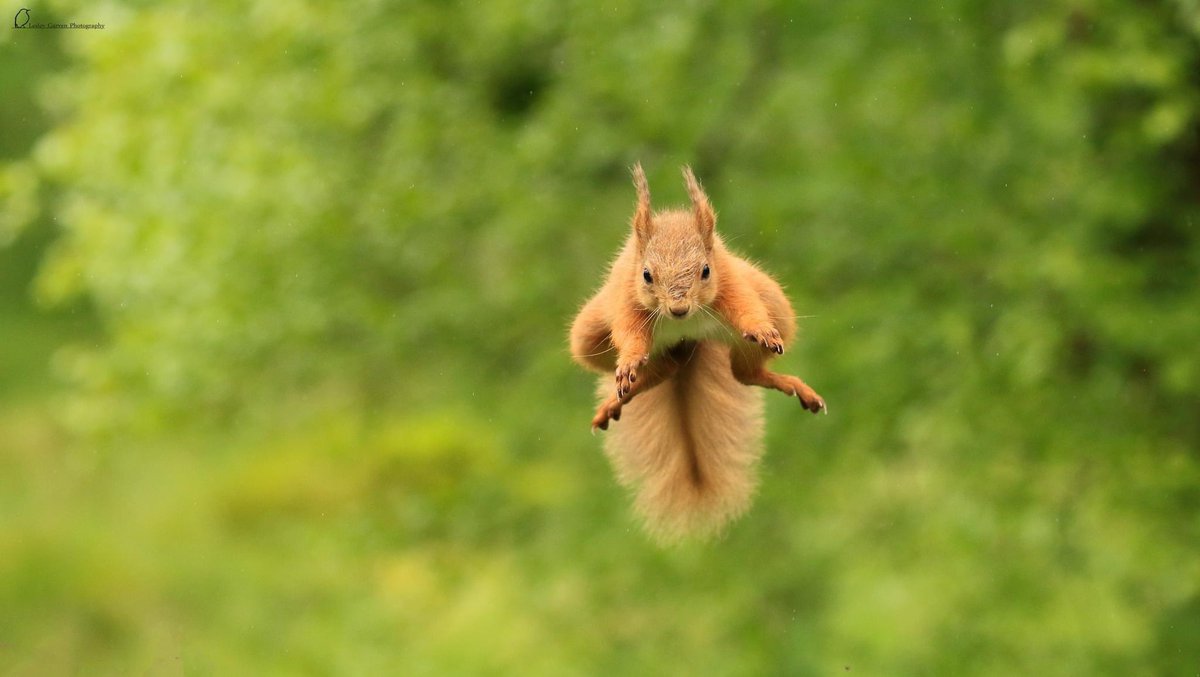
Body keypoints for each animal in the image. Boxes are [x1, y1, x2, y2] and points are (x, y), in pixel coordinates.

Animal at [569, 163, 826, 542]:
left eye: (705, 270)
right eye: (646, 275)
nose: (678, 309)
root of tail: (687, 340)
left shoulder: (731, 282)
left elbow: (748, 307)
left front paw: (762, 330)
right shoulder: (626, 300)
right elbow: (629, 334)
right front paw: (629, 362)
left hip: (774, 306)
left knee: (743, 373)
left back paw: (791, 384)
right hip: (587, 336)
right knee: (667, 368)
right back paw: (623, 393)